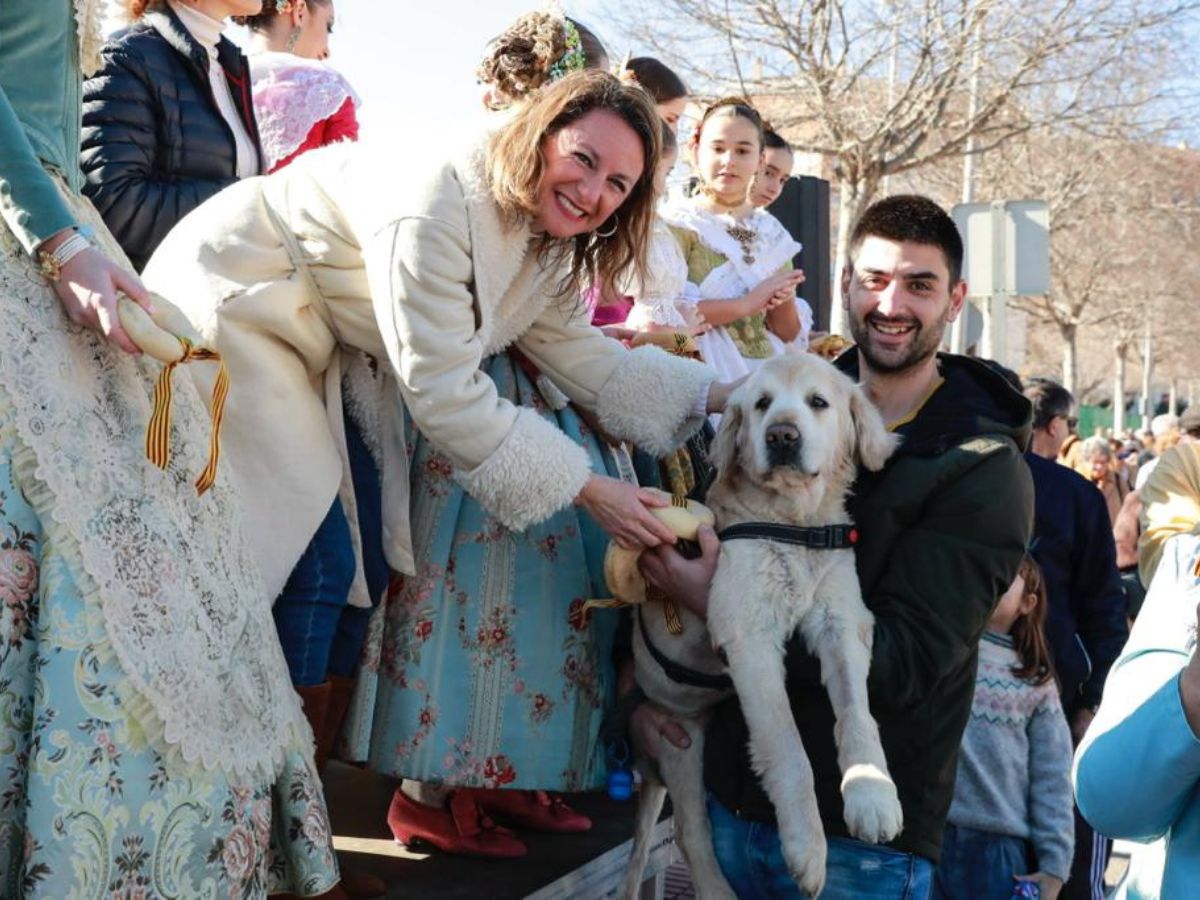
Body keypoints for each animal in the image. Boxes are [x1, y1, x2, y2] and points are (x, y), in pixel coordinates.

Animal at [624, 352, 902, 900]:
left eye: (818, 402)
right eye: (762, 404)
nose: (782, 437)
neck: (794, 525)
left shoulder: (842, 622)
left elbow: (857, 715)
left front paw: (872, 795)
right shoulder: (749, 637)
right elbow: (788, 745)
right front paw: (806, 847)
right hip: (680, 742)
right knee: (690, 833)